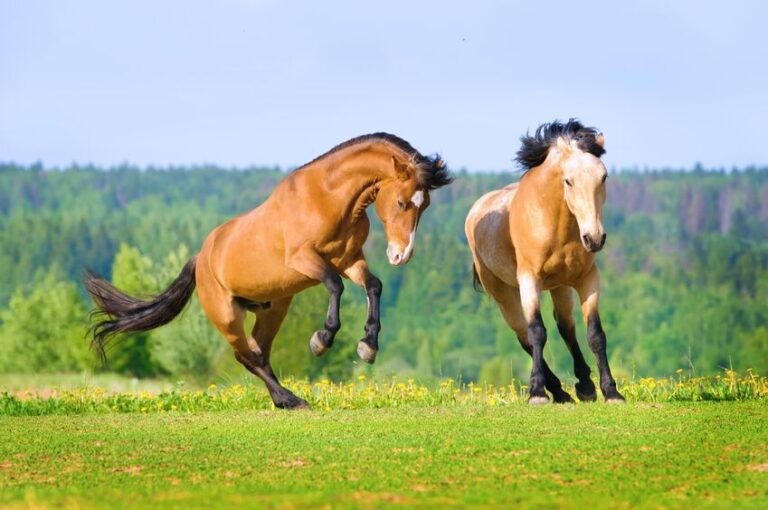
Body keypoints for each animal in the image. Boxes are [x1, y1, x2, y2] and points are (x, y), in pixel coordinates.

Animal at [85, 133, 452, 409]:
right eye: (402, 202)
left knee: (259, 353)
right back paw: (290, 399)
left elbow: (373, 286)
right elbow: (335, 286)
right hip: (227, 316)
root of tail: (201, 258)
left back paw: (285, 399)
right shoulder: (306, 259)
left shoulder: (349, 259)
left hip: (272, 309)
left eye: (424, 205)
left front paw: (368, 346)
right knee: (246, 356)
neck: (327, 199)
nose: (400, 255)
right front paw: (321, 340)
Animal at [465, 119, 624, 405]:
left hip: (560, 287)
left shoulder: (587, 278)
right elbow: (537, 331)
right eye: (568, 181)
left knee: (566, 327)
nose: (594, 238)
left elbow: (595, 334)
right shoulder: (529, 281)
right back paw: (556, 389)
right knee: (524, 335)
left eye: (603, 176)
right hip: (504, 294)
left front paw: (611, 391)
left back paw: (583, 385)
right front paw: (537, 392)